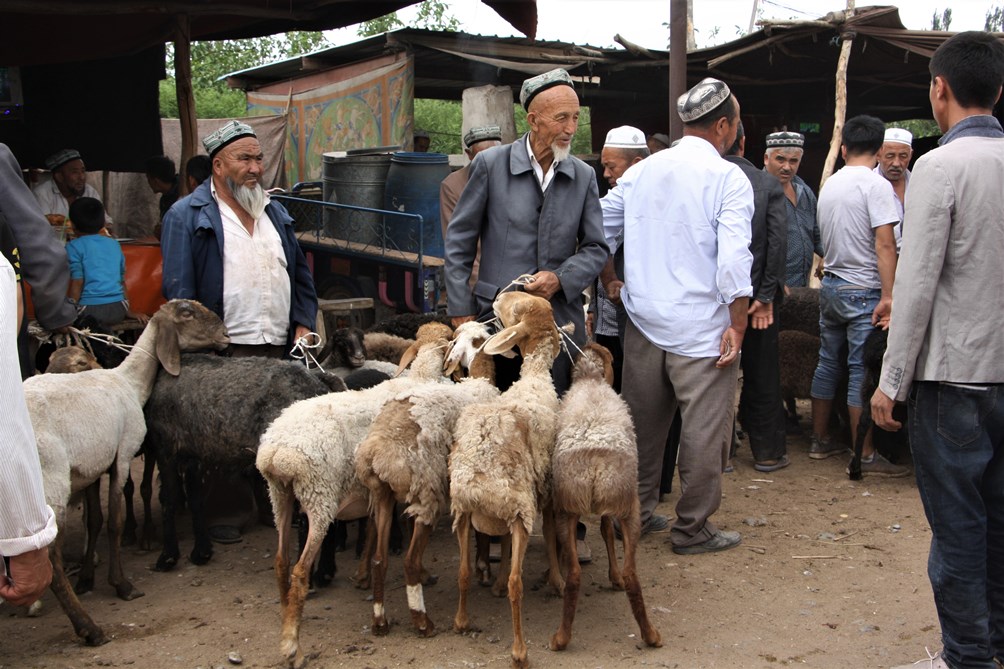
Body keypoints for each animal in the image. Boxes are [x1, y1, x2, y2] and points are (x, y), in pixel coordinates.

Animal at [22, 299, 229, 642]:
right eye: (187, 314)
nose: (226, 334)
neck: (129, 381)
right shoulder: (121, 455)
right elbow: (114, 522)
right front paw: (121, 584)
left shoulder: (93, 467)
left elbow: (95, 520)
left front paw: (87, 579)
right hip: (52, 483)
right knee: (49, 553)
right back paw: (88, 627)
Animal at [255, 321, 455, 662]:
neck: (420, 378)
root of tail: (277, 452)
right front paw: (420, 573)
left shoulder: (372, 489)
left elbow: (373, 529)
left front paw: (363, 575)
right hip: (319, 496)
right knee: (299, 569)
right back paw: (293, 644)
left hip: (279, 496)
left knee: (281, 562)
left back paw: (286, 619)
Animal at [355, 319, 499, 634]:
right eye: (480, 338)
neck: (479, 382)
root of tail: (375, 452)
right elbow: (481, 531)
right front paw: (484, 569)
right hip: (425, 492)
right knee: (408, 561)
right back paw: (422, 621)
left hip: (384, 495)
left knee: (380, 559)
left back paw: (380, 619)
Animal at [451, 291, 570, 666]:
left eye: (517, 308)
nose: (498, 296)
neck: (533, 378)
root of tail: (481, 476)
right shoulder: (543, 490)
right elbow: (551, 531)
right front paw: (557, 579)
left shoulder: (504, 513)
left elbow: (500, 545)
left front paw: (496, 580)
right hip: (520, 509)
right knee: (517, 585)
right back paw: (520, 651)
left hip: (465, 512)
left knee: (463, 571)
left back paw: (461, 621)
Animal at [550, 343, 658, 650]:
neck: (590, 380)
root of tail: (595, 468)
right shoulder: (612, 510)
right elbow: (607, 531)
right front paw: (613, 576)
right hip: (627, 507)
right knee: (630, 574)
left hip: (569, 508)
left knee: (576, 574)